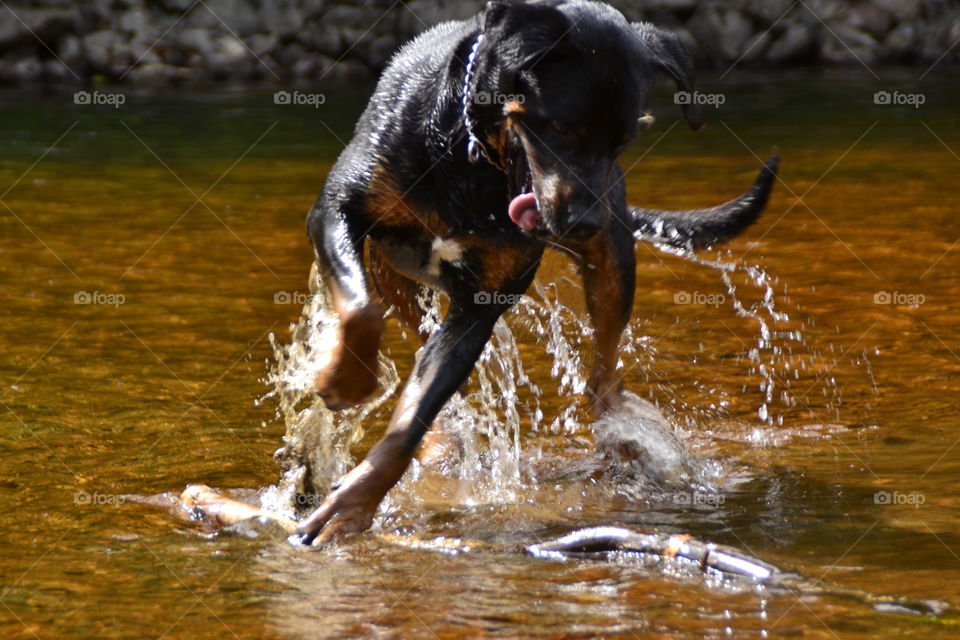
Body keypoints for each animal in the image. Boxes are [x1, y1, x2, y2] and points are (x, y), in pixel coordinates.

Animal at [300, 0, 780, 544]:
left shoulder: (482, 306)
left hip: (613, 259)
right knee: (413, 336)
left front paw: (353, 504)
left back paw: (621, 435)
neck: (471, 164)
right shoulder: (335, 208)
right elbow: (361, 311)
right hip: (399, 277)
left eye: (625, 140)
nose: (587, 220)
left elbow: (414, 413)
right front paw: (344, 381)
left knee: (602, 374)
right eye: (562, 129)